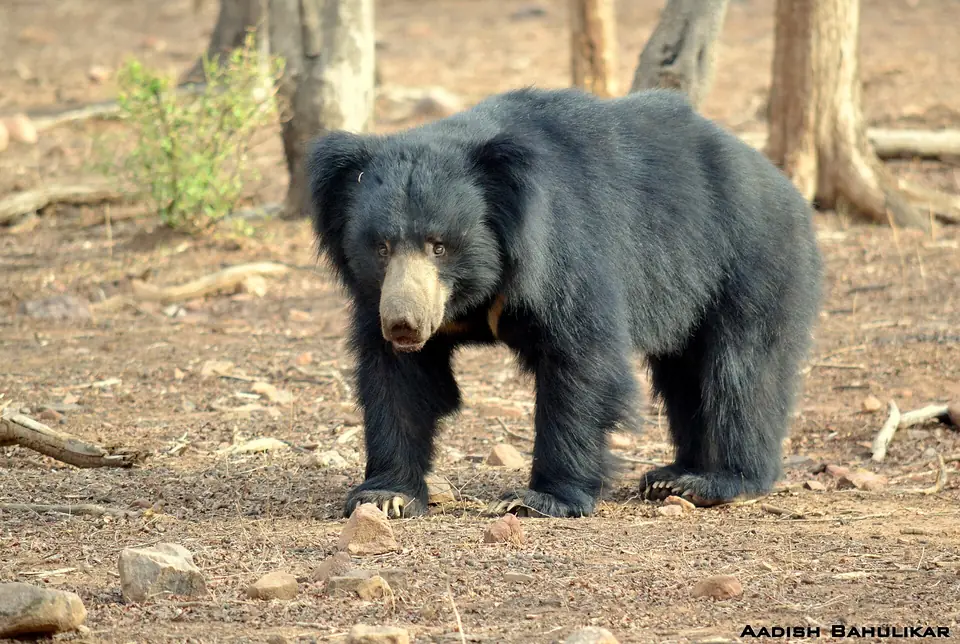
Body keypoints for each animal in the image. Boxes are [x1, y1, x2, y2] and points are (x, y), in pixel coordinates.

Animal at [307, 87, 823, 519]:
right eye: (381, 247)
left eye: (439, 246)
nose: (405, 325)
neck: (476, 293)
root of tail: (784, 185)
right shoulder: (380, 297)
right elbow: (399, 379)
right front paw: (385, 495)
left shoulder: (565, 249)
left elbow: (581, 360)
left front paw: (538, 498)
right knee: (686, 375)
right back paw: (672, 477)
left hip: (750, 261)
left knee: (742, 370)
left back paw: (717, 481)